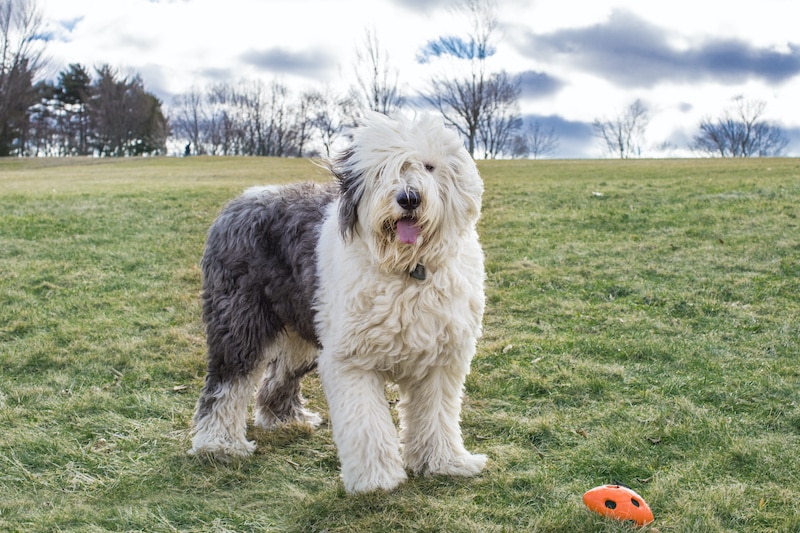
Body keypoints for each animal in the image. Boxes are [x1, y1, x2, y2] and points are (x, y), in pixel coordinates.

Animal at [190, 113, 484, 494]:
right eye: (381, 171)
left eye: (430, 166)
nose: (409, 198)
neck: (407, 269)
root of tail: (241, 200)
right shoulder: (352, 361)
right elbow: (367, 425)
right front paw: (376, 480)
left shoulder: (440, 360)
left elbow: (437, 416)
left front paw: (444, 463)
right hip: (240, 321)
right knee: (227, 383)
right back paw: (219, 444)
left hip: (304, 327)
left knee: (278, 374)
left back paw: (286, 419)